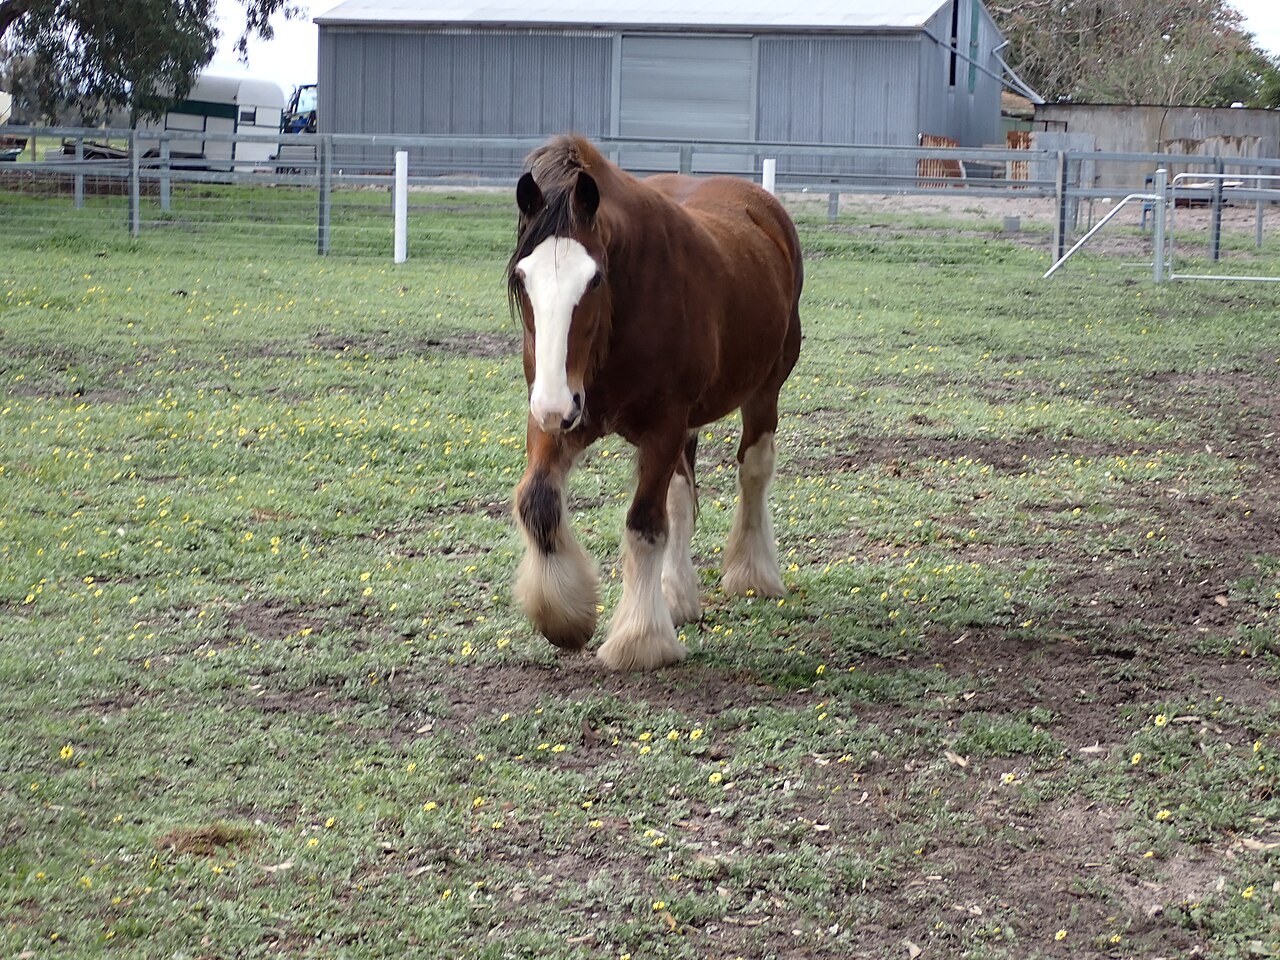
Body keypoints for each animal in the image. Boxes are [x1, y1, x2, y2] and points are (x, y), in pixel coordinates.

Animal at [507, 134, 803, 671]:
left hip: (764, 388)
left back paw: (752, 572)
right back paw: (676, 592)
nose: (557, 404)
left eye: (594, 279)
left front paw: (640, 639)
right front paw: (566, 616)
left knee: (753, 470)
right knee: (682, 492)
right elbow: (537, 502)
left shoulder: (662, 423)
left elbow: (644, 524)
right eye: (523, 279)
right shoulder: (558, 417)